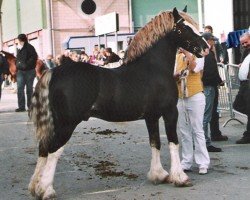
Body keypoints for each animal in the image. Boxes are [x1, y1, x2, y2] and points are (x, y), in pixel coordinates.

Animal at [28, 7, 209, 198]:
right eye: (184, 28)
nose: (205, 48)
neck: (154, 68)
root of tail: (53, 72)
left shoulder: (151, 117)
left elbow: (155, 143)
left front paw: (158, 175)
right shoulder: (170, 112)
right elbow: (173, 142)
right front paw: (180, 178)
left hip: (56, 123)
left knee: (43, 148)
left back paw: (35, 187)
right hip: (66, 124)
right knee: (53, 150)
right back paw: (46, 190)